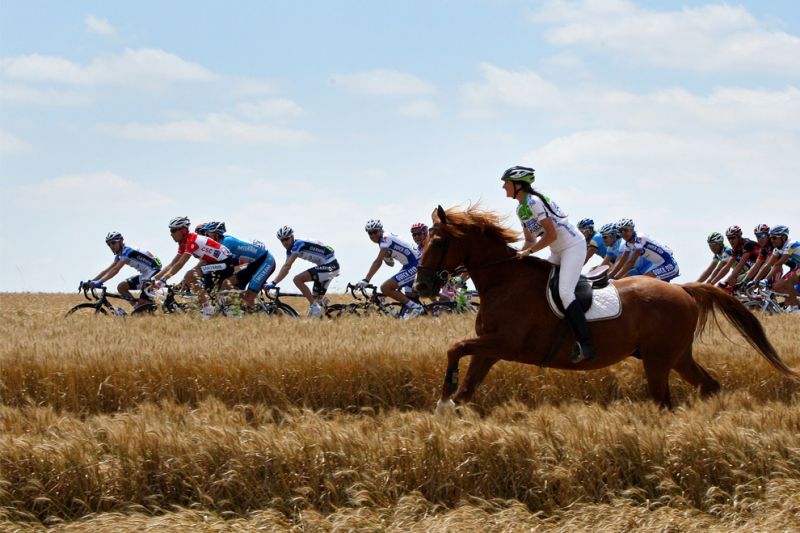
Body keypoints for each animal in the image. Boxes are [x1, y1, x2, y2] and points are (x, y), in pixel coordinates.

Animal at [416, 205, 796, 408]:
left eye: (438, 241)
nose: (421, 287)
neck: (504, 282)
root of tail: (683, 291)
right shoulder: (489, 349)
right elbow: (467, 386)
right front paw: (449, 405)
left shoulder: (506, 344)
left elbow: (455, 348)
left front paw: (444, 396)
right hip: (676, 356)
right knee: (708, 385)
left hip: (659, 359)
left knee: (664, 400)